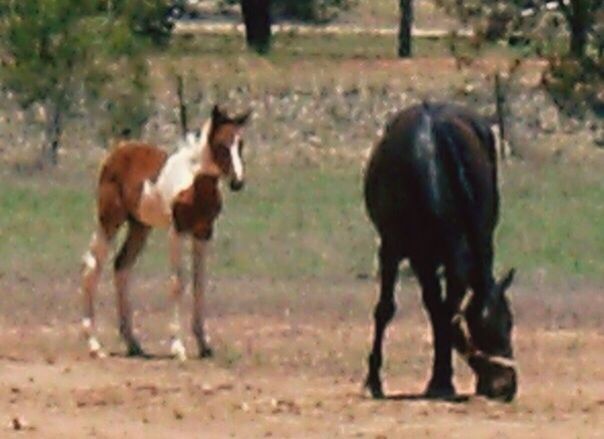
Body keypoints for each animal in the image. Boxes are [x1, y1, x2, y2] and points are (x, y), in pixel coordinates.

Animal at [80, 105, 250, 360]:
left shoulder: (204, 232)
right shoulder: (177, 231)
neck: (194, 184)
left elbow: (199, 283)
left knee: (121, 266)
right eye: (222, 143)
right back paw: (94, 345)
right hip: (109, 220)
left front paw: (204, 344)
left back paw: (133, 343)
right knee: (92, 267)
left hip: (140, 226)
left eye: (240, 144)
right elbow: (177, 283)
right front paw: (178, 346)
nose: (238, 183)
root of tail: (117, 151)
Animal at [366, 102, 516, 402]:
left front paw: (442, 379)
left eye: (509, 323)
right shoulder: (397, 249)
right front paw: (375, 380)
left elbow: (444, 312)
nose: (506, 387)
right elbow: (388, 309)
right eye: (481, 331)